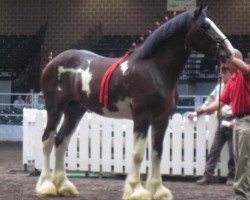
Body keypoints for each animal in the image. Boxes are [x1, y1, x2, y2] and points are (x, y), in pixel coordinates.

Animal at [35, 6, 234, 200]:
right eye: (205, 26)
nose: (230, 53)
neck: (154, 70)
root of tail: (52, 62)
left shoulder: (162, 119)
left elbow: (157, 152)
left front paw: (158, 190)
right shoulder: (142, 117)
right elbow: (138, 154)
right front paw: (136, 191)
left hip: (75, 109)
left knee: (61, 141)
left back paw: (64, 187)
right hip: (55, 109)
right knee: (47, 140)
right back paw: (46, 186)